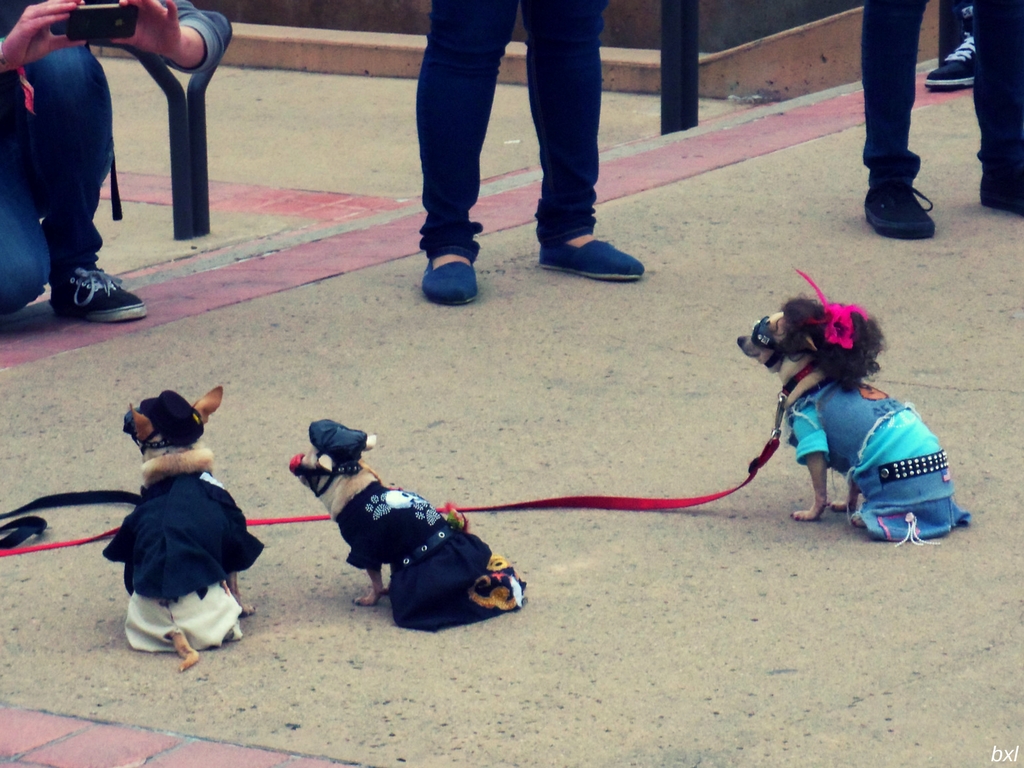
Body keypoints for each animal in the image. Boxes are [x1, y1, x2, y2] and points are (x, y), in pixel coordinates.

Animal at [737, 274, 966, 544]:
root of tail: (948, 510)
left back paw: (861, 518)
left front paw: (812, 514)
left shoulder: (813, 446)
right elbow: (851, 488)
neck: (808, 374)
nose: (740, 339)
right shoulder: (856, 459)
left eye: (760, 334)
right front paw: (845, 504)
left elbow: (820, 490)